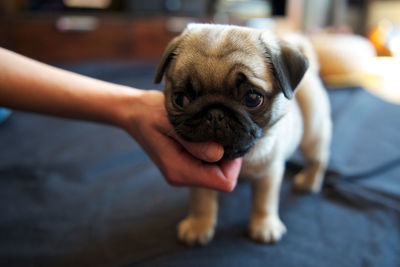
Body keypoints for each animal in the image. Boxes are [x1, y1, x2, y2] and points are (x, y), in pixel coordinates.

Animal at [153, 24, 332, 246]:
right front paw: (198, 224)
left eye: (252, 98)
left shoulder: (269, 172)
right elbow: (201, 200)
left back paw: (309, 181)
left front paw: (264, 225)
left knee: (318, 158)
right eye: (180, 99)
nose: (215, 114)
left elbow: (264, 201)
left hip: (312, 132)